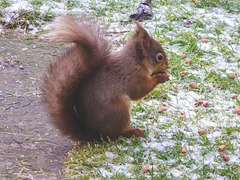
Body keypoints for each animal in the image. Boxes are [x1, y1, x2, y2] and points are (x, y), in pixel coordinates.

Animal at [42, 17, 170, 141]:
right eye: (159, 57)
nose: (167, 66)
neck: (136, 61)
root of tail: (91, 134)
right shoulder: (134, 76)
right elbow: (139, 92)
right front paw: (161, 77)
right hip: (118, 111)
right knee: (114, 135)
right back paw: (132, 131)